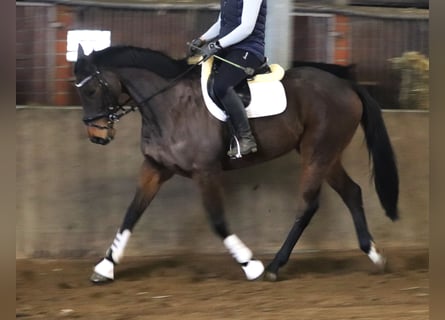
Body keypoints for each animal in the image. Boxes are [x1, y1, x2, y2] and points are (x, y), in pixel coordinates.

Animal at [73, 44, 398, 282]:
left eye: (90, 90)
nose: (96, 136)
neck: (170, 105)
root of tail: (346, 85)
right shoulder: (155, 168)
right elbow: (131, 214)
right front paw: (105, 267)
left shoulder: (206, 172)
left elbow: (217, 221)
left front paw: (249, 264)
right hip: (326, 155)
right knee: (352, 192)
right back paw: (374, 255)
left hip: (317, 151)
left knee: (308, 205)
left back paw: (273, 267)